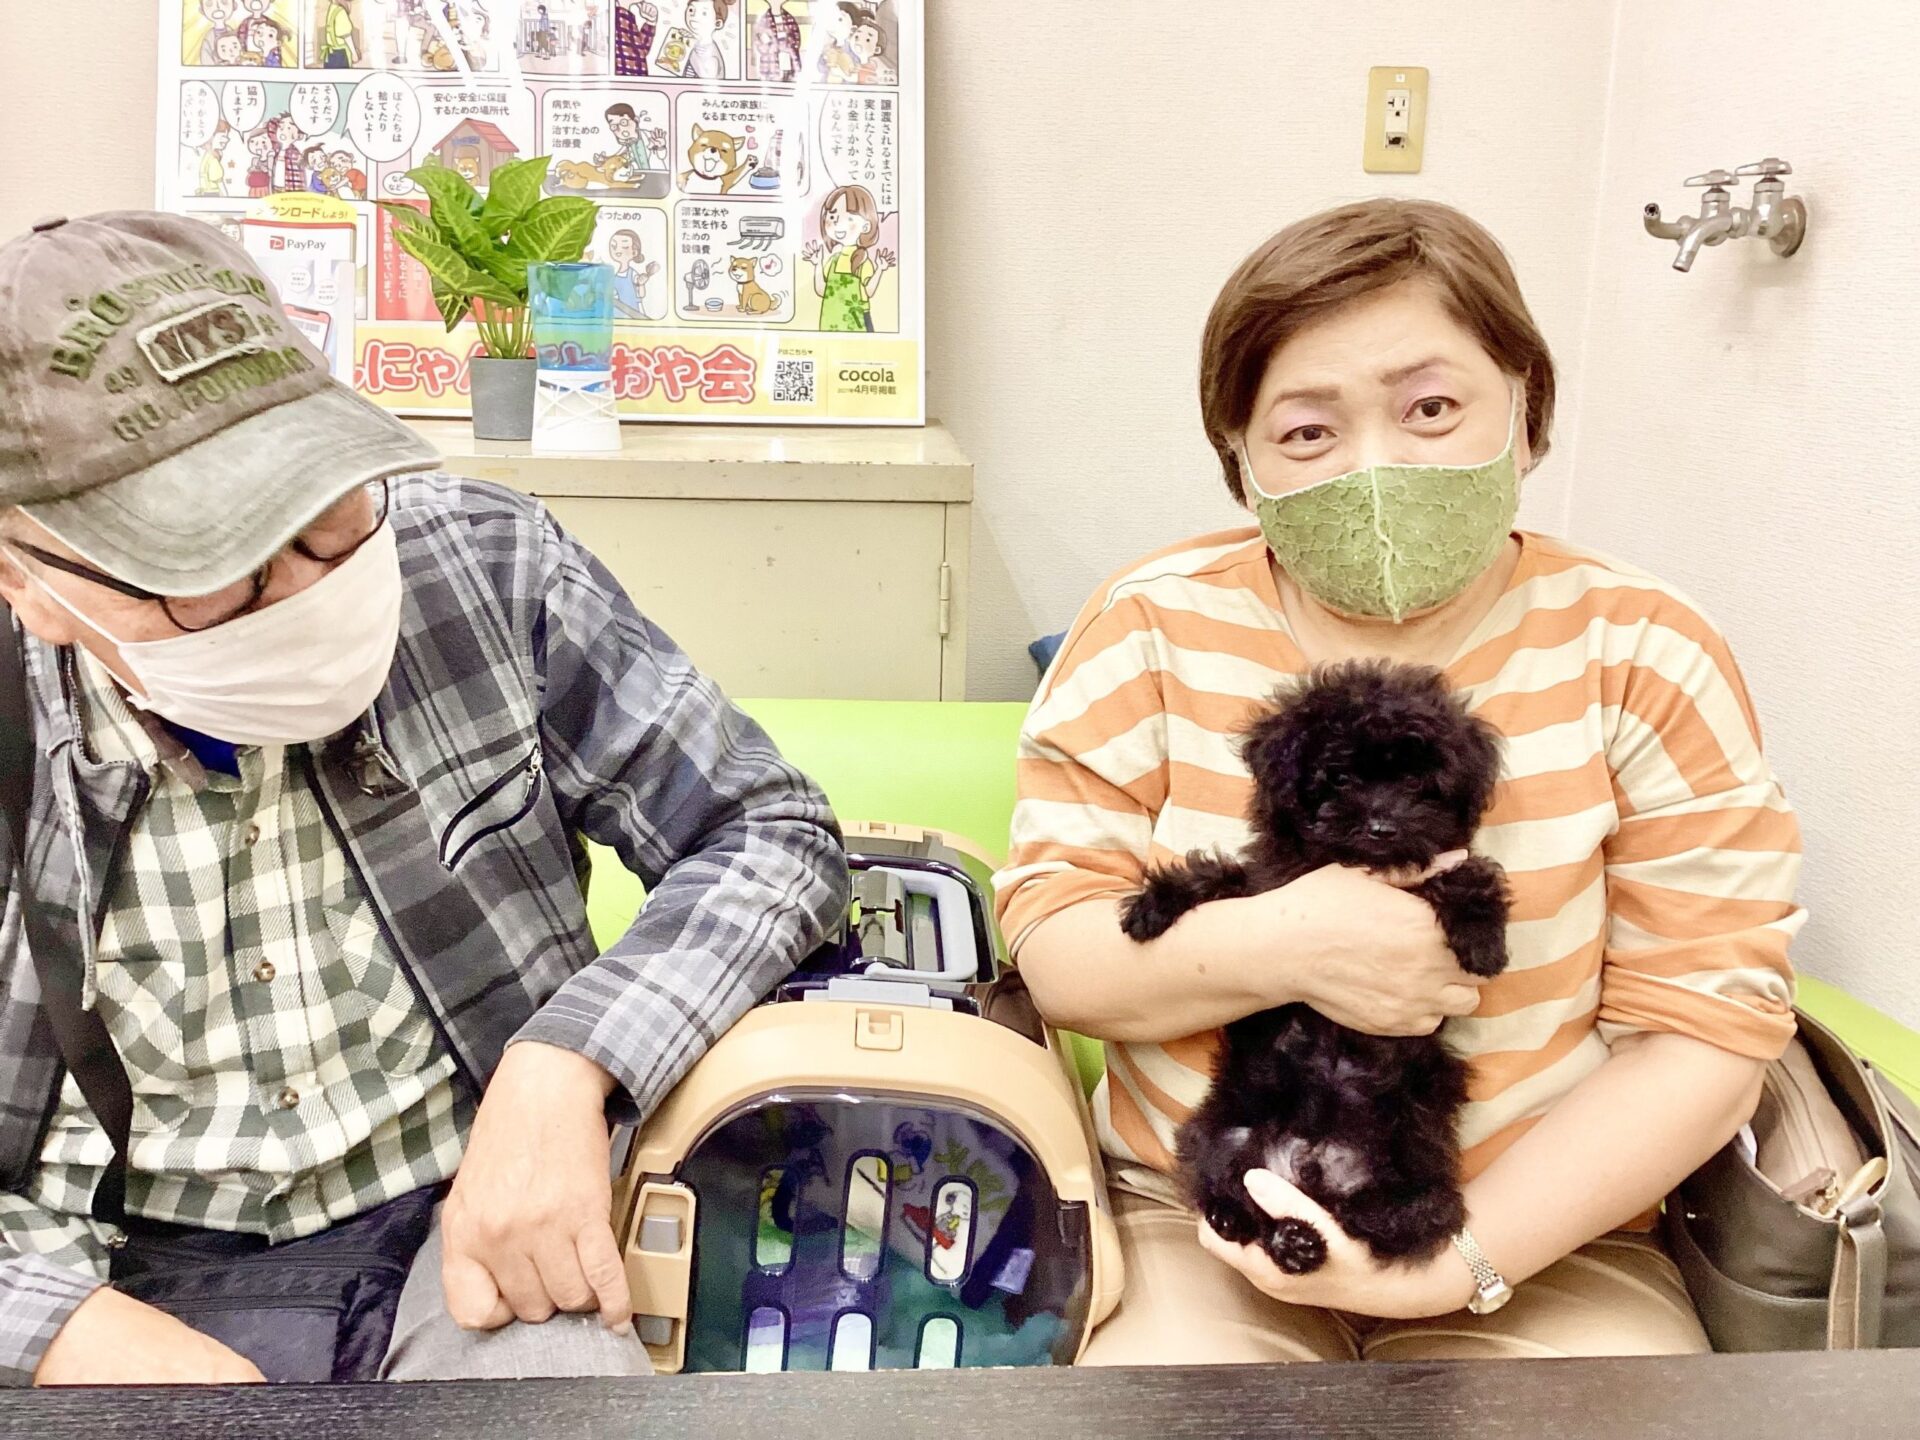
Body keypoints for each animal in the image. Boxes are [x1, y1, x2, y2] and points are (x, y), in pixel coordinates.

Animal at [1119, 661, 1510, 1275]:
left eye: (1416, 784)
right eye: (1340, 779)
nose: (1382, 827)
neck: (1358, 865)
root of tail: (1314, 1167)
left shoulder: (1432, 868)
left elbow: (1467, 876)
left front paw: (1483, 940)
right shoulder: (1267, 885)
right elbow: (1217, 876)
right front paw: (1150, 909)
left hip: (1419, 1162)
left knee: (1398, 1216)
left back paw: (1326, 1229)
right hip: (1221, 1134)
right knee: (1236, 1195)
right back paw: (1272, 1234)